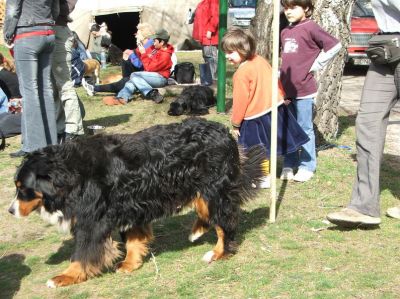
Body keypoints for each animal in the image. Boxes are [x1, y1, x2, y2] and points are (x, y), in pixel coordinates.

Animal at [7, 117, 266, 288]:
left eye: (22, 189)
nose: (10, 210)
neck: (73, 173)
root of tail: (225, 132)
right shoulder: (129, 205)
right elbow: (133, 239)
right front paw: (130, 264)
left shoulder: (93, 221)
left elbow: (82, 252)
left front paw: (67, 276)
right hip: (202, 190)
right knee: (209, 212)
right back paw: (197, 231)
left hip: (213, 189)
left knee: (225, 222)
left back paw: (219, 252)